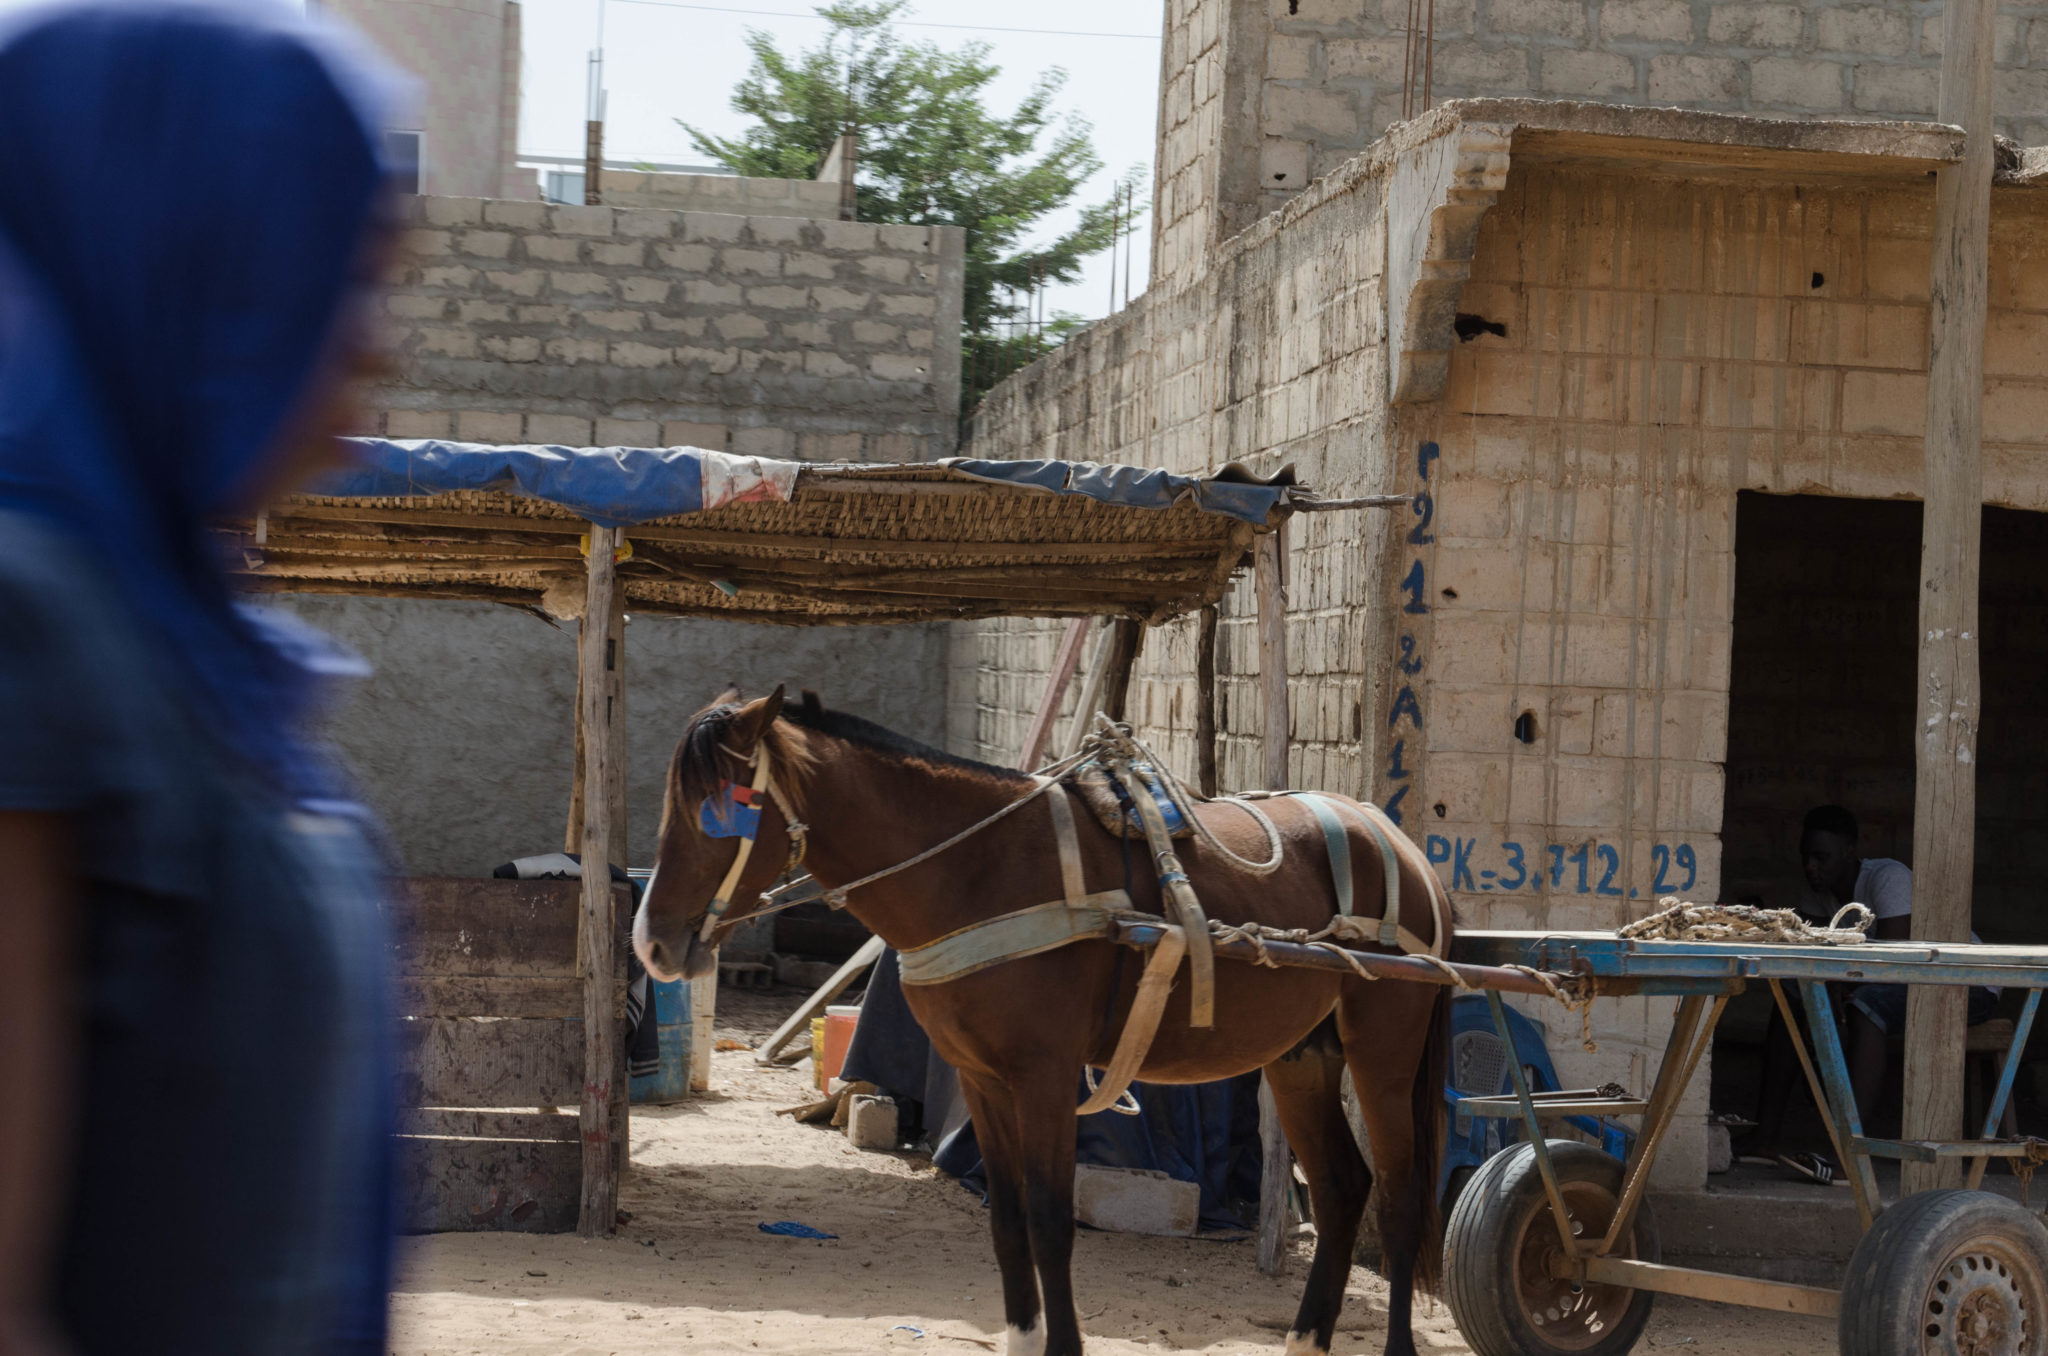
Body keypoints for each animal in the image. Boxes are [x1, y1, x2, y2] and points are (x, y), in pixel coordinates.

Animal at [638, 692, 1458, 1356]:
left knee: (1399, 1196)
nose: (651, 944)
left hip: (1384, 1054)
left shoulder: (1045, 1077)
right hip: (1302, 1057)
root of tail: (1403, 845)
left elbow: (1050, 1220)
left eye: (718, 811)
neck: (979, 868)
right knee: (1344, 1186)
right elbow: (1008, 1221)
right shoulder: (982, 1079)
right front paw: (1024, 1338)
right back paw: (1305, 1338)